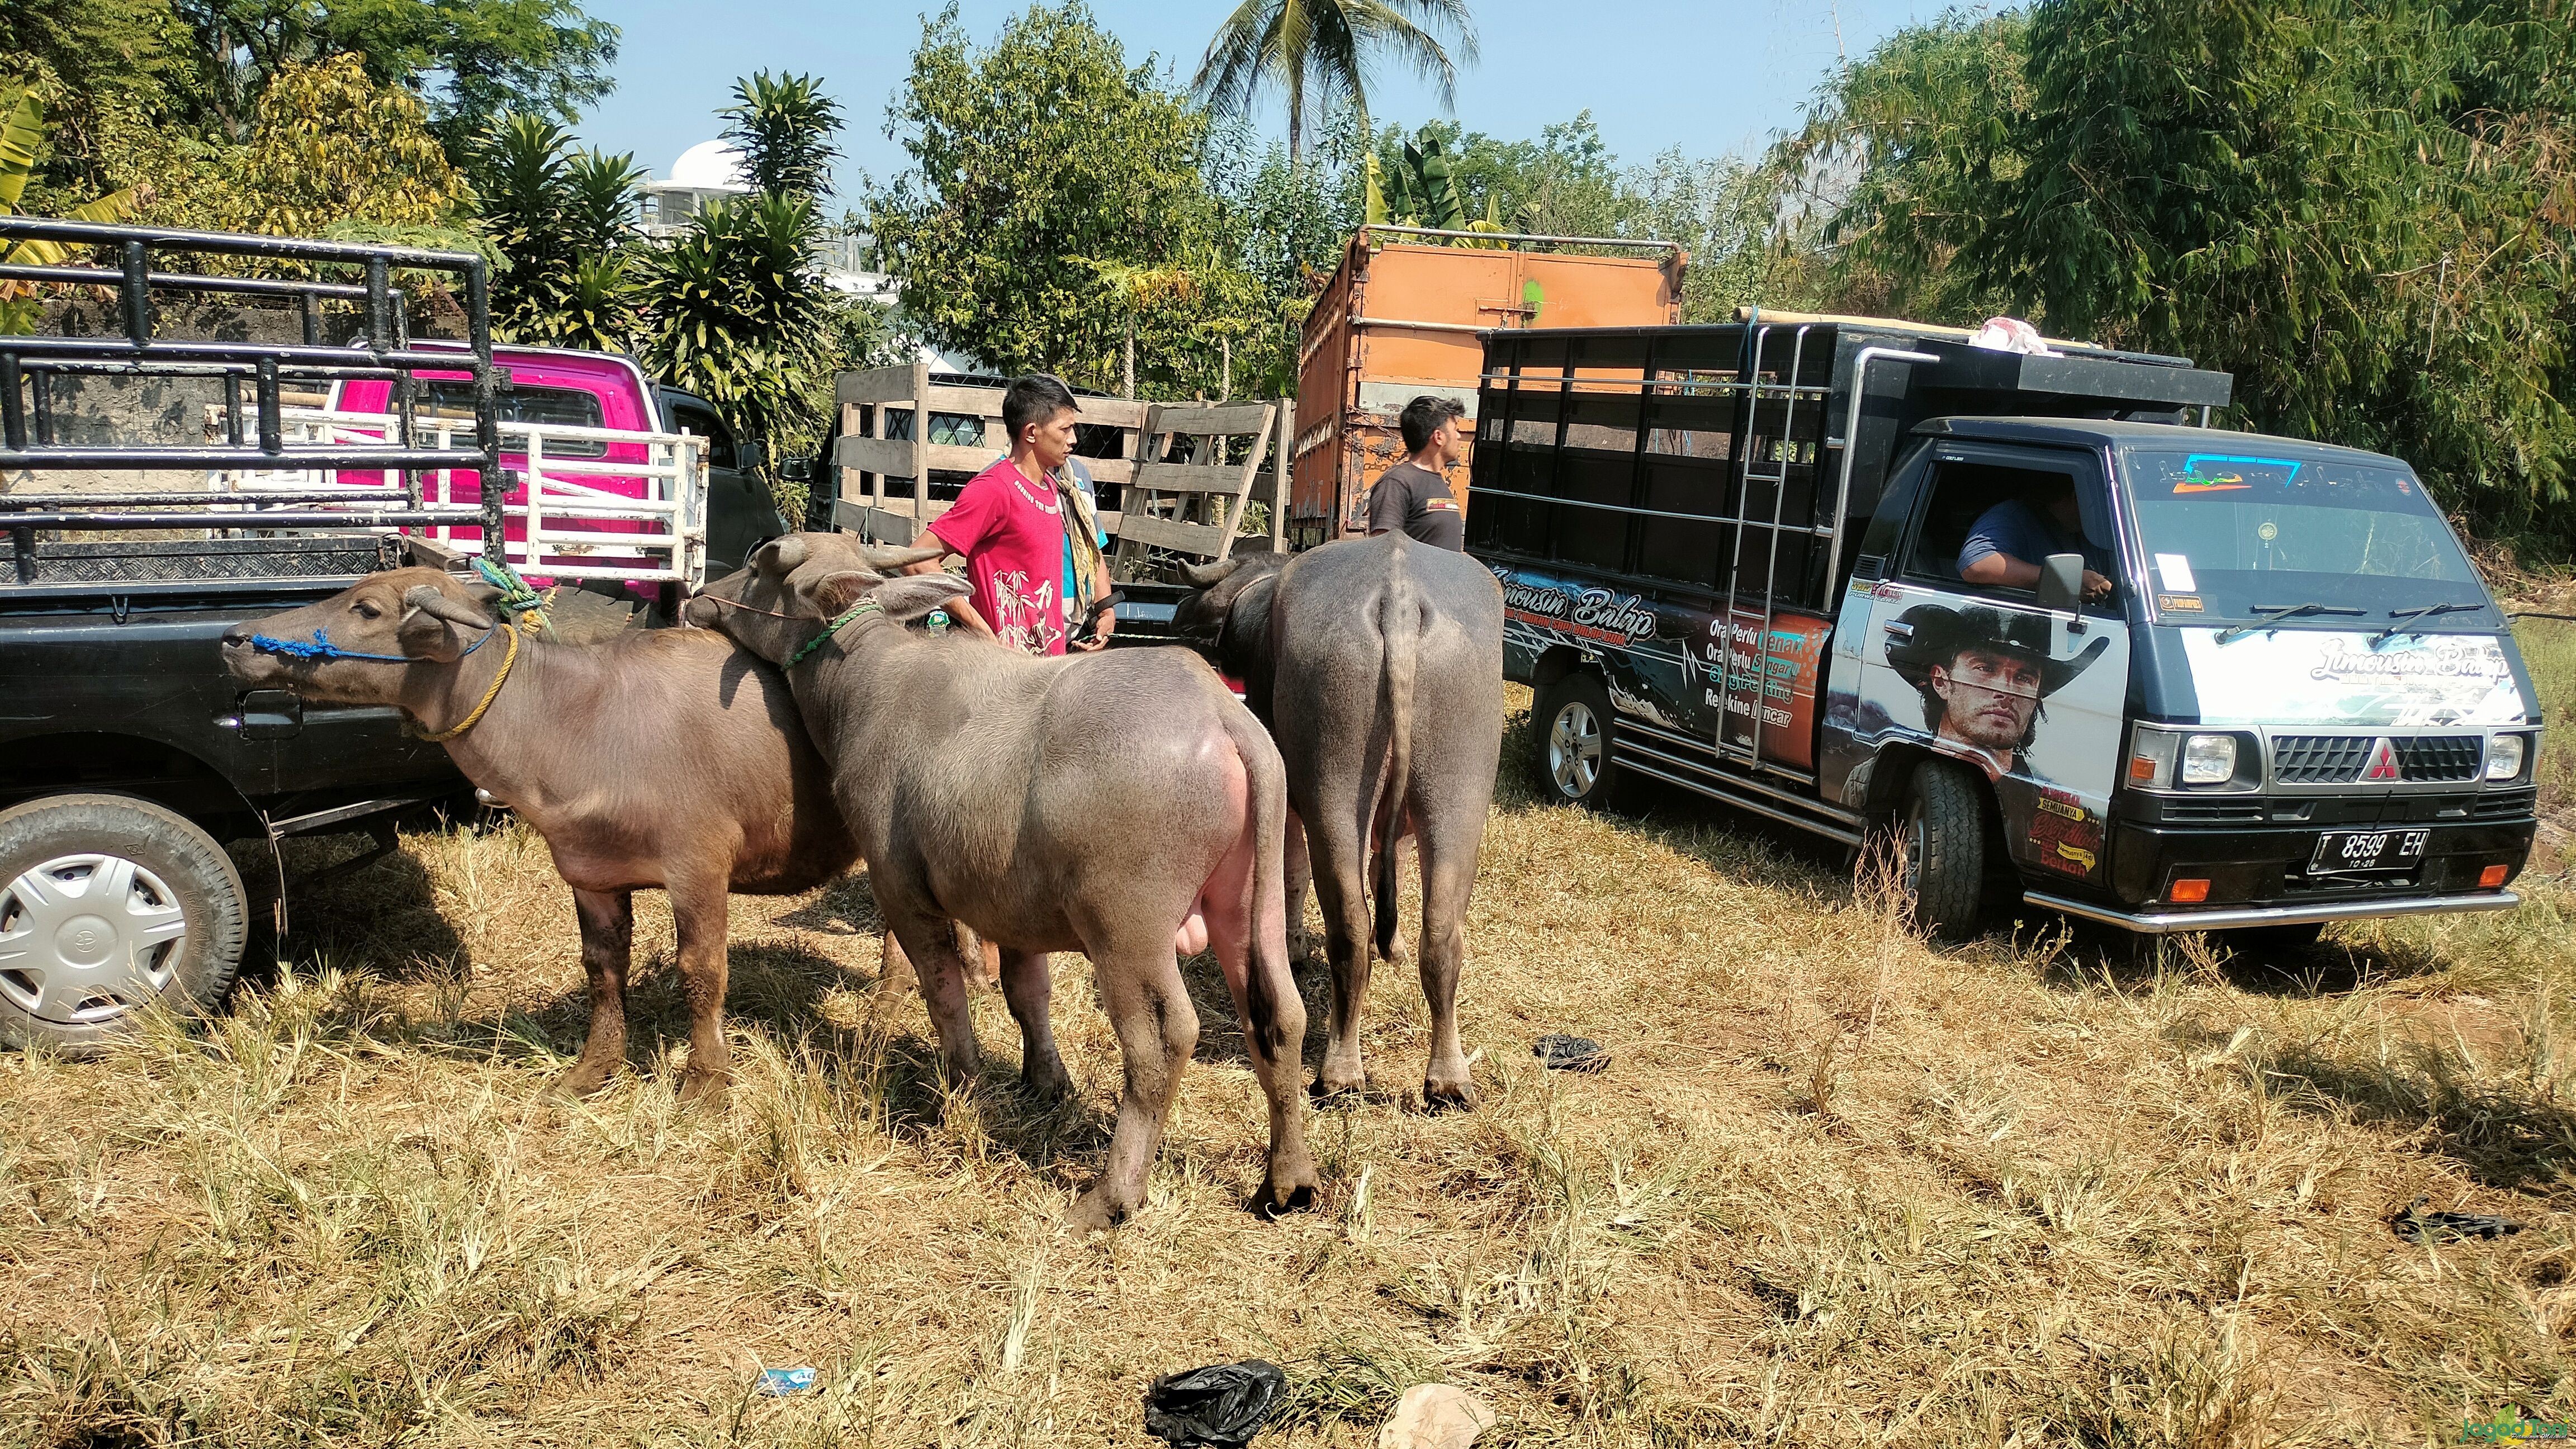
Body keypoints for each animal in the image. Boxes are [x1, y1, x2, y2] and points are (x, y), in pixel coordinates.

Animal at [219, 565, 855, 1093]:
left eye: (367, 609)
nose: (235, 638)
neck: (582, 719)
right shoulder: (591, 875)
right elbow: (603, 970)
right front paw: (593, 1070)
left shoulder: (698, 868)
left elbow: (703, 972)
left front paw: (705, 1083)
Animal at [685, 536, 1319, 1222]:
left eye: (762, 561)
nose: (700, 596)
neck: (867, 684)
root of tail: (1225, 719)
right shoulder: (1013, 909)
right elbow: (1028, 993)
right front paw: (1045, 1080)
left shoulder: (903, 892)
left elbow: (942, 992)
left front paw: (963, 1086)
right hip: (1251, 903)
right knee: (1281, 1016)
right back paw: (1289, 1180)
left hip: (1128, 927)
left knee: (1161, 1041)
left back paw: (1111, 1196)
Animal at [1175, 531, 1504, 1103]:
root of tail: (1398, 596)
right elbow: (1388, 871)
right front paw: (1391, 945)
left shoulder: (1285, 797)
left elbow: (1291, 873)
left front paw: (1292, 944)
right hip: (1459, 796)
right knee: (1442, 932)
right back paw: (1447, 1077)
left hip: (1332, 791)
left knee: (1348, 927)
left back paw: (1340, 1071)